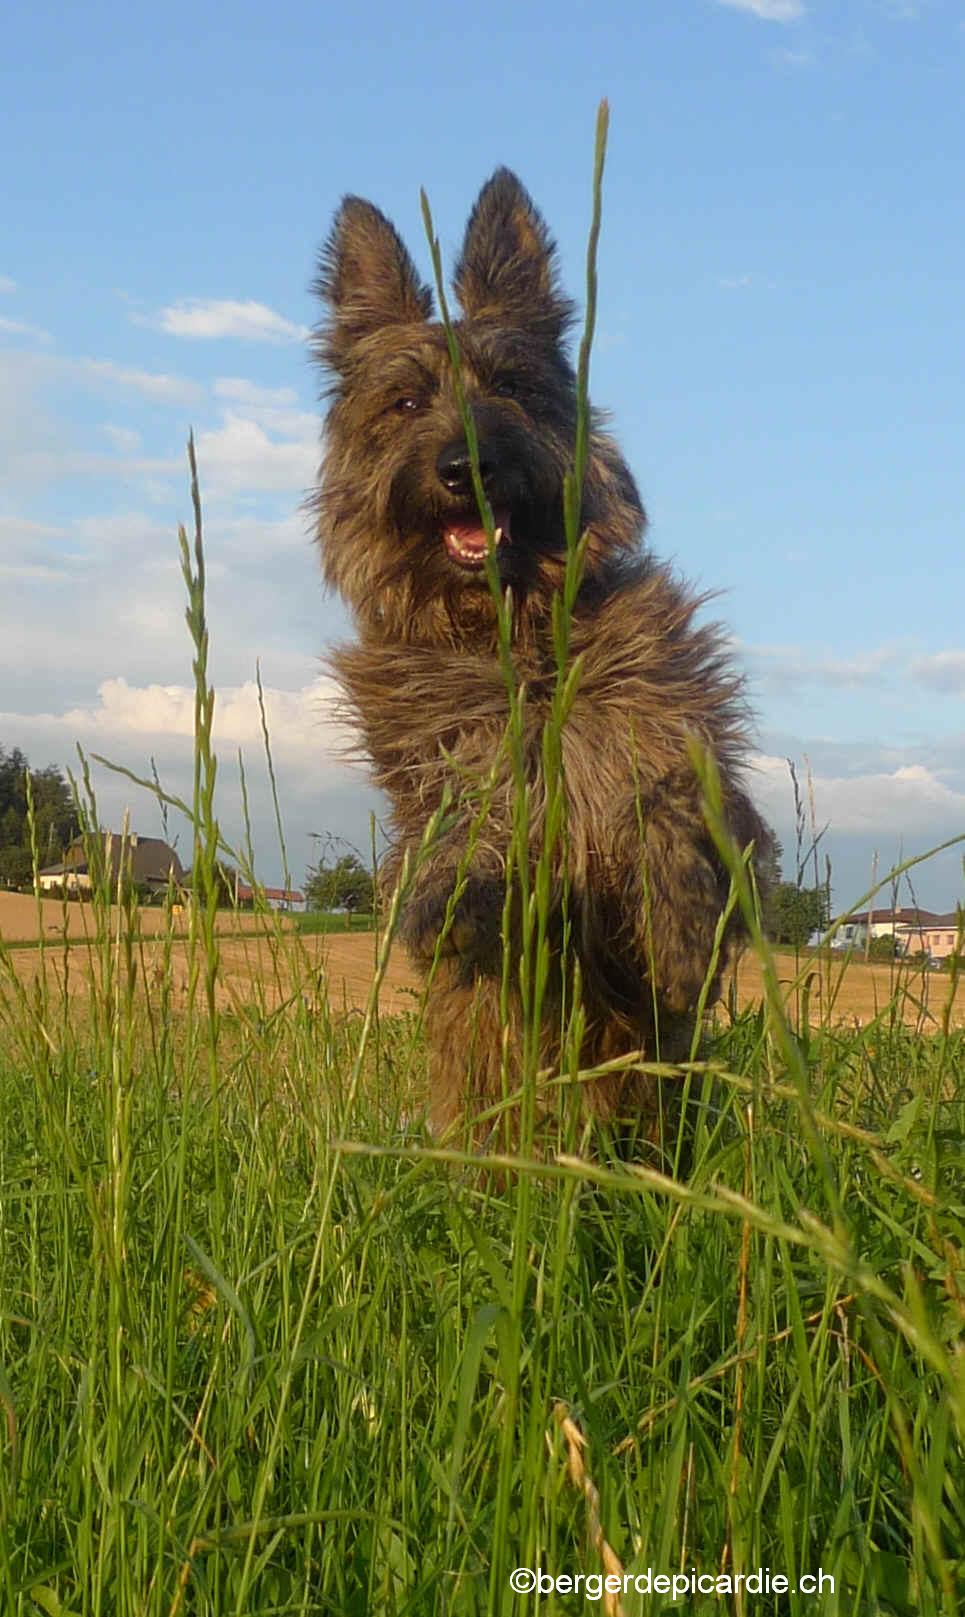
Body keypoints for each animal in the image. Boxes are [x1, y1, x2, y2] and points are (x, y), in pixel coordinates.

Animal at [316, 170, 766, 1157]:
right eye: (405, 402)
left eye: (513, 387)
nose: (464, 467)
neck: (518, 640)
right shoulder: (445, 779)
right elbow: (467, 837)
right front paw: (463, 891)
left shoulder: (696, 761)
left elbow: (668, 794)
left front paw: (681, 928)